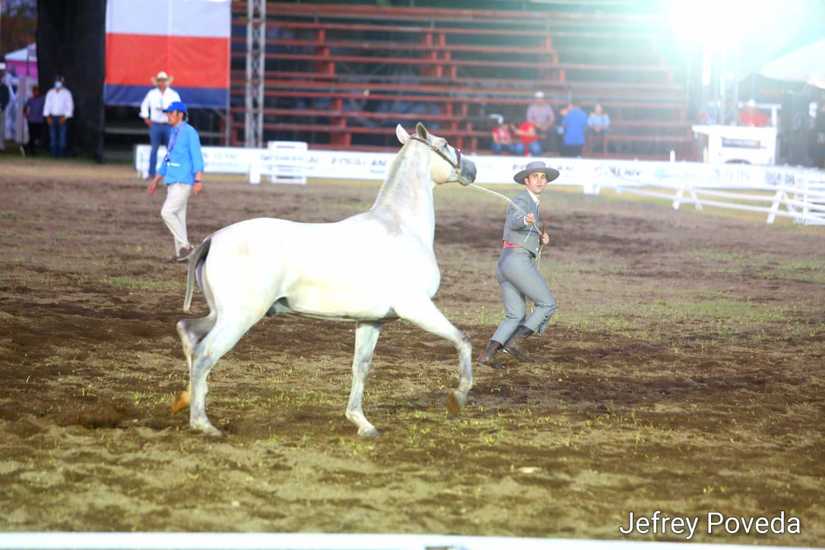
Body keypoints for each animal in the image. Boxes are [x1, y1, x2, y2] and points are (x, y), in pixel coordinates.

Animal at [170, 123, 478, 437]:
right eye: (445, 144)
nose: (472, 169)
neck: (400, 227)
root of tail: (212, 240)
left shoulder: (371, 321)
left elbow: (360, 367)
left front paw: (361, 422)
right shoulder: (416, 307)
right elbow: (462, 340)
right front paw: (458, 397)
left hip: (222, 314)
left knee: (188, 332)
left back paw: (186, 400)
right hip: (239, 317)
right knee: (204, 355)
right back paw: (203, 423)